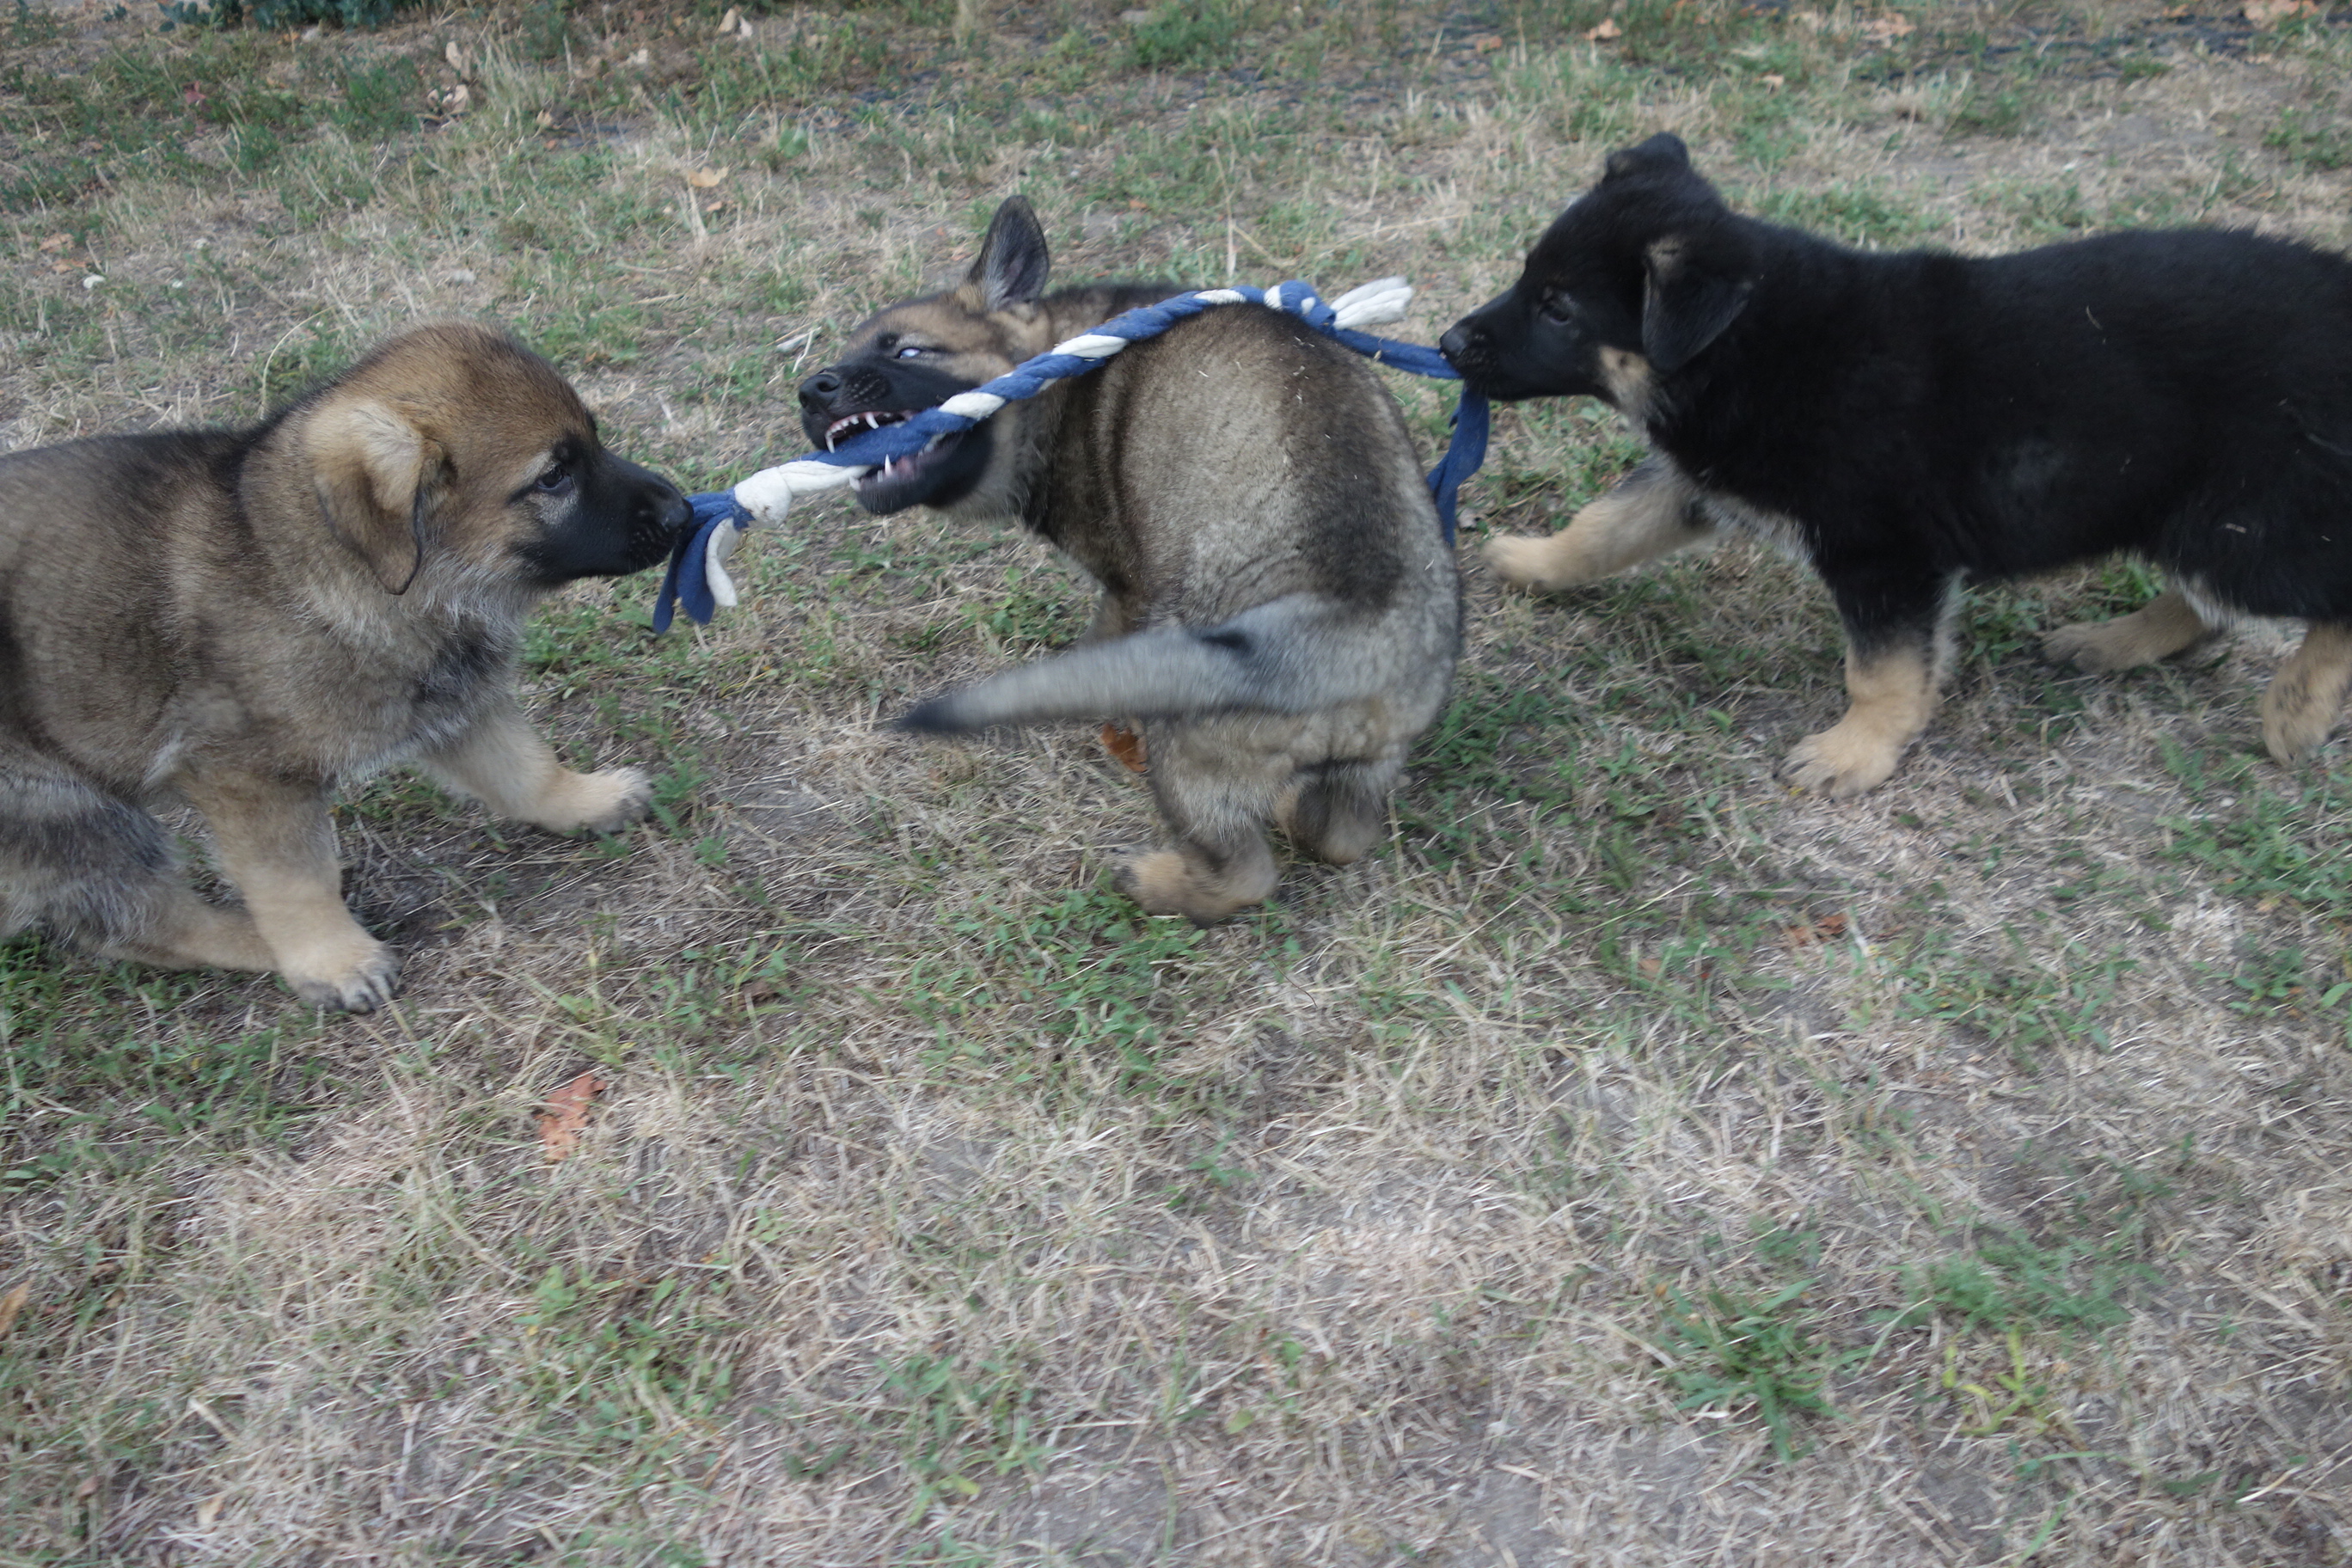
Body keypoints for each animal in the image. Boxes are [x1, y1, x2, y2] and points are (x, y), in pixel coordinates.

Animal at [0, 323, 689, 1010]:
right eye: (553, 478)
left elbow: (524, 769)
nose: (682, 513)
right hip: (62, 808)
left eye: (592, 445)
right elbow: (291, 881)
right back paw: (273, 944)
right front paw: (330, 959)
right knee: (144, 920)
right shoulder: (249, 776)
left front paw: (584, 799)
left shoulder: (453, 700)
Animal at [796, 197, 1460, 920]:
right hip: (1372, 760)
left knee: (1245, 872)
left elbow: (1099, 639)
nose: (812, 390)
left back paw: (1153, 880)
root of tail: (1352, 633)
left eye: (910, 351)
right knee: (1339, 833)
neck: (1057, 366)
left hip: (1190, 743)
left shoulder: (1125, 585)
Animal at [1443, 132, 2352, 797]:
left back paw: (2297, 711)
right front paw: (1532, 561)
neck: (1755, 344)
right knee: (2207, 605)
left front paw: (1855, 754)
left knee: (2320, 600)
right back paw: (2109, 643)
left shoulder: (1884, 553)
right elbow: (1607, 525)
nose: (1450, 344)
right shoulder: (1703, 479)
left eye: (1559, 308)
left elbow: (1881, 672)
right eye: (1529, 280)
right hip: (2191, 516)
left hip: (2243, 517)